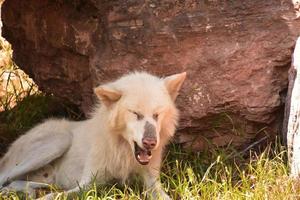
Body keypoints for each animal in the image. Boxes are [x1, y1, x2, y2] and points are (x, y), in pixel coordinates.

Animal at [0, 71, 186, 199]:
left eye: (156, 114)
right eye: (135, 114)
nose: (150, 142)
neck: (122, 152)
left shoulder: (151, 181)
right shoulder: (87, 183)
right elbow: (58, 196)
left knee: (14, 183)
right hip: (58, 142)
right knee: (4, 179)